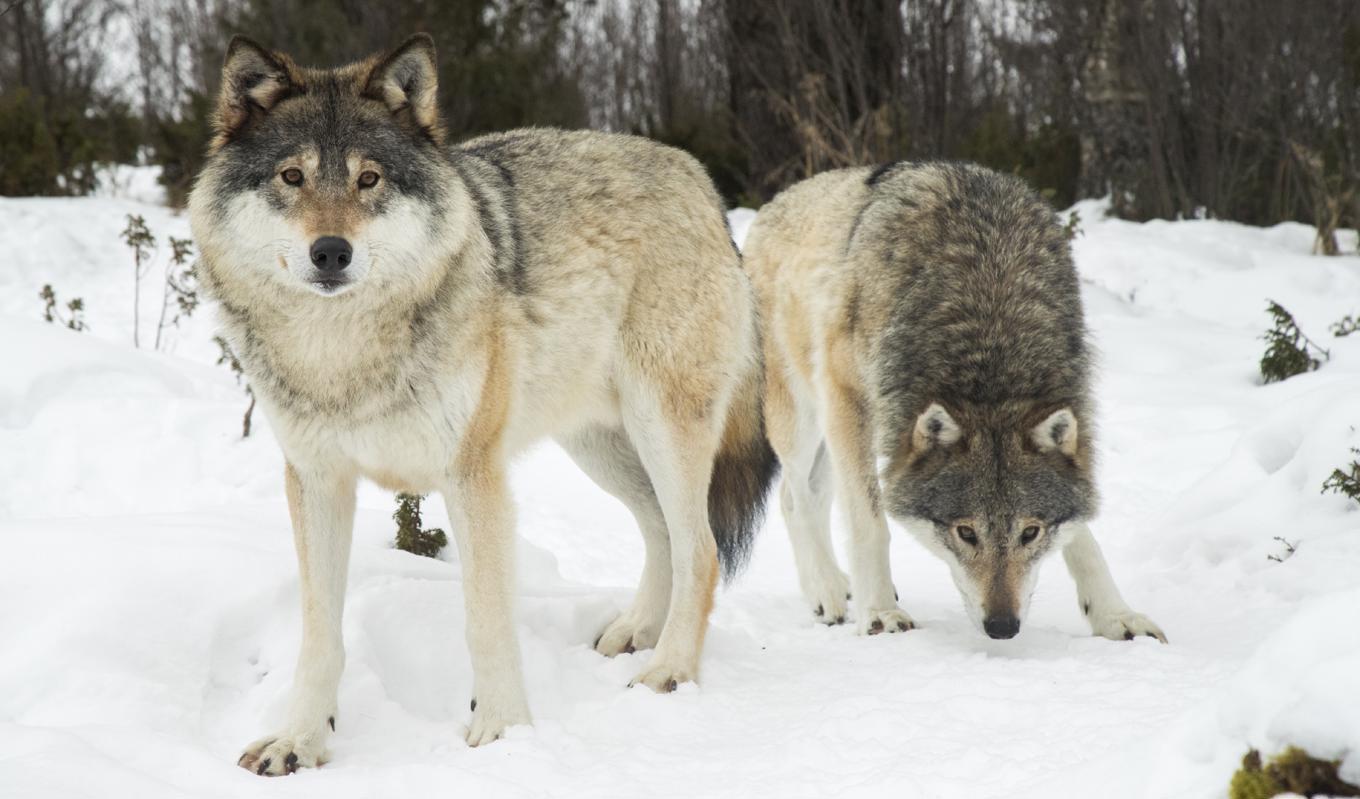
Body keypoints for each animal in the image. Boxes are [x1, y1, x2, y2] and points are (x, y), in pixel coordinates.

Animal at [189, 35, 777, 771]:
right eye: (292, 177)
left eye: (369, 180)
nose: (330, 252)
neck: (343, 352)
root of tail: (700, 181)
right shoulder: (317, 480)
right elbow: (320, 633)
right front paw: (300, 740)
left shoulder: (473, 477)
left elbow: (486, 621)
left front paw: (502, 736)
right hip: (603, 450)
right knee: (663, 533)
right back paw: (637, 632)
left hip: (661, 430)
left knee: (702, 549)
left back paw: (668, 670)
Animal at [739, 162, 1164, 644]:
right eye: (965, 532)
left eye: (1030, 532)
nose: (1003, 627)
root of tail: (775, 203)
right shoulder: (848, 397)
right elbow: (871, 522)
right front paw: (880, 613)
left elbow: (1084, 537)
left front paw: (1114, 615)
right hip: (804, 416)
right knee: (793, 495)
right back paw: (825, 589)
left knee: (815, 492)